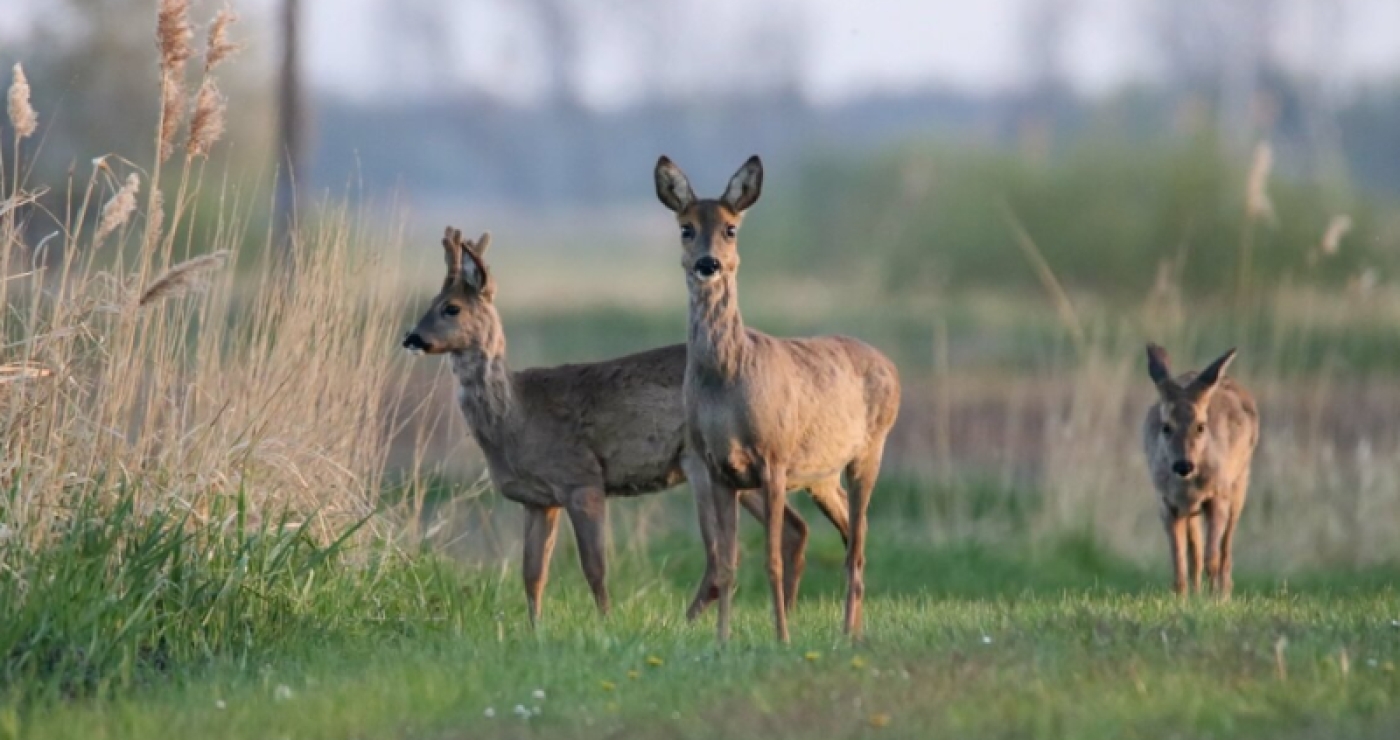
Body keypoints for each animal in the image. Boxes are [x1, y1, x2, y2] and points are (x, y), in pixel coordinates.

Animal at [400, 228, 845, 626]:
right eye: (431, 302)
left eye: (451, 308)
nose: (411, 338)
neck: (516, 416)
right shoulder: (538, 499)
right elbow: (532, 575)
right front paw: (533, 630)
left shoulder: (581, 478)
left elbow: (594, 566)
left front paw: (606, 624)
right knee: (796, 528)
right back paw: (785, 612)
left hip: (704, 462)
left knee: (724, 554)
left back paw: (687, 623)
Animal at [652, 157, 901, 640]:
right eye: (686, 228)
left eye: (730, 228)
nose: (708, 263)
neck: (727, 380)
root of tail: (891, 365)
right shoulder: (717, 467)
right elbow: (727, 565)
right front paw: (722, 641)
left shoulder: (774, 457)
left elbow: (770, 561)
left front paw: (783, 637)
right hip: (822, 474)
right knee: (850, 532)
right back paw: (852, 629)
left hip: (870, 451)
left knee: (858, 543)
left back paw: (848, 632)